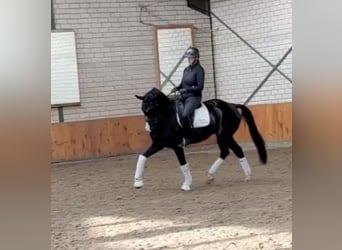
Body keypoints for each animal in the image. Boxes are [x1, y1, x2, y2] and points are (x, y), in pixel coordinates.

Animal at [134, 87, 268, 190]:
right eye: (144, 105)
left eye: (156, 104)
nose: (149, 126)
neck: (166, 117)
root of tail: (232, 105)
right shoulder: (158, 144)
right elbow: (142, 156)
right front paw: (138, 183)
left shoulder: (177, 145)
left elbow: (183, 164)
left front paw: (186, 184)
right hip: (226, 136)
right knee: (233, 150)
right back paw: (219, 175)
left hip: (223, 135)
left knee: (229, 150)